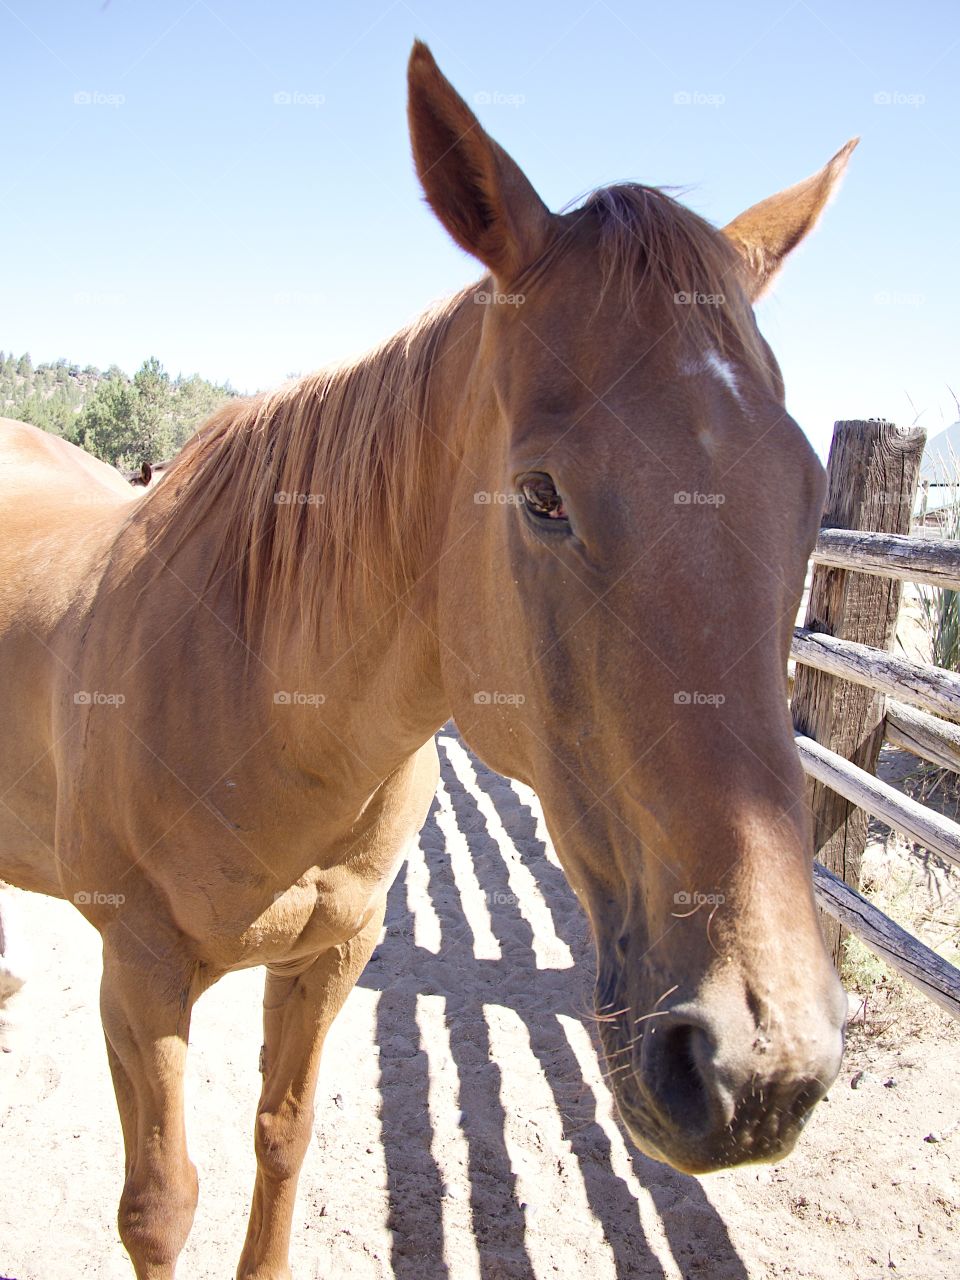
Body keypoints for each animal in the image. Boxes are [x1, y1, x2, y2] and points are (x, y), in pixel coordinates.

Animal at [0, 40, 855, 1280]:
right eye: (540, 495)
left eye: (806, 493)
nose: (761, 1063)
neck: (264, 700)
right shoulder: (139, 972)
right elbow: (159, 1203)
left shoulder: (334, 956)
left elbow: (282, 1135)